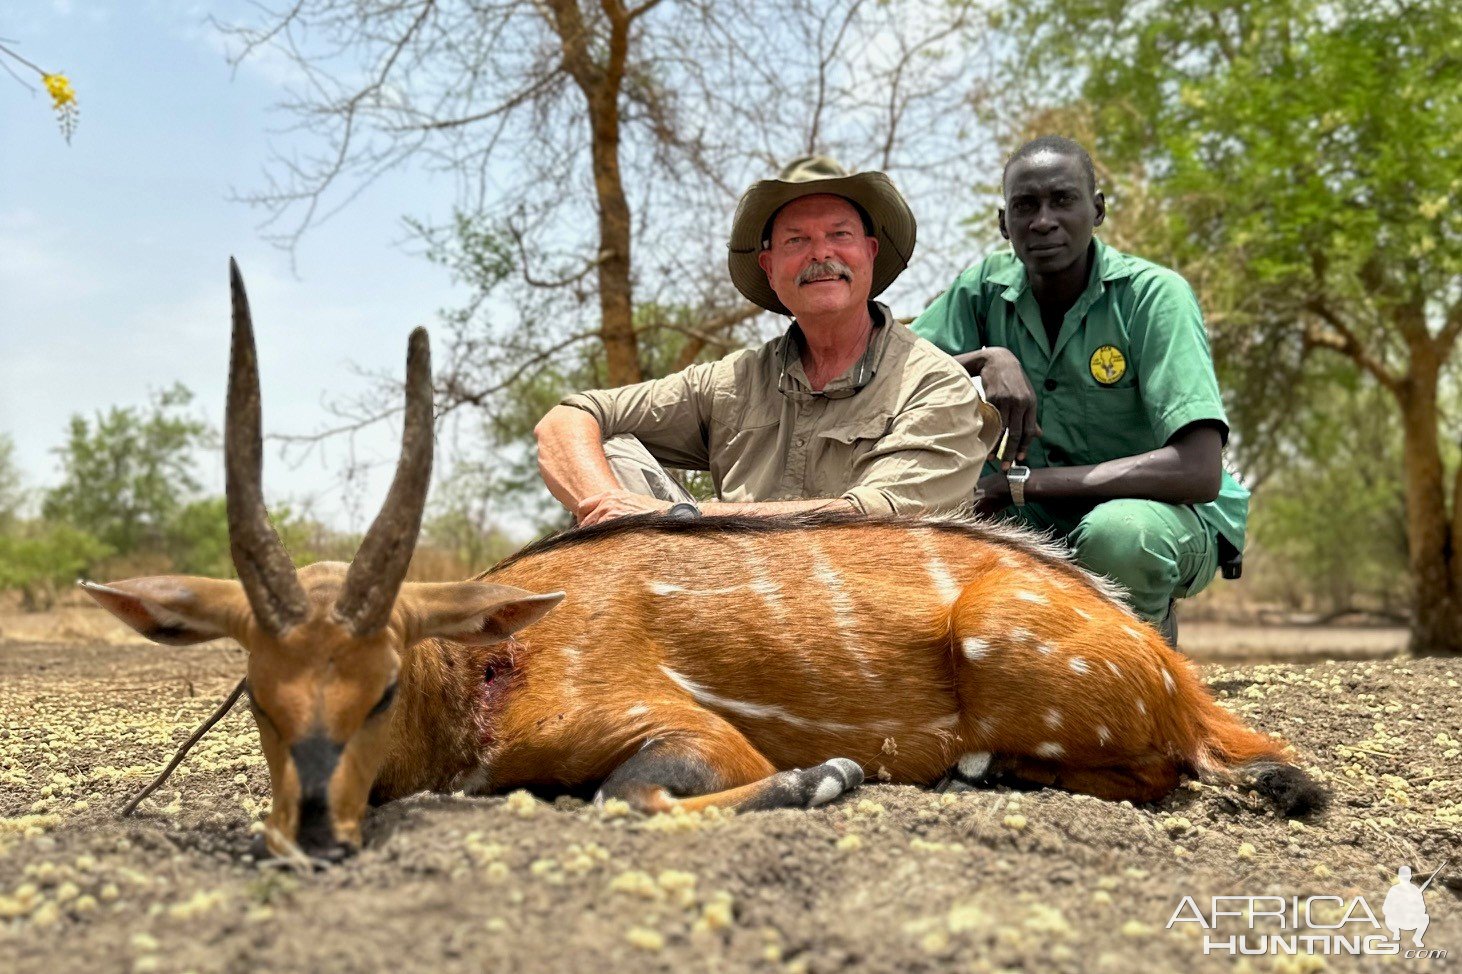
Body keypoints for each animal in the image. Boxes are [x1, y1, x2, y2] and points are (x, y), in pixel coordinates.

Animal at [85, 260, 1333, 859]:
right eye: (255, 693)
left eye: (382, 683)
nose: (309, 833)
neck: (489, 670)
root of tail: (1174, 673)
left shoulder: (681, 734)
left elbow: (621, 798)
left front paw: (824, 777)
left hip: (1026, 657)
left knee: (1196, 773)